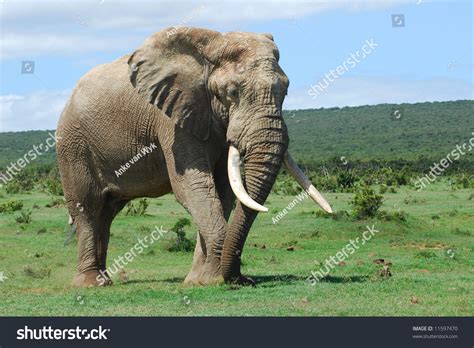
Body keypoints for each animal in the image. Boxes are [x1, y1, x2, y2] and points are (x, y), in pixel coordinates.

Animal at [57, 26, 332, 288]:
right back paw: (91, 284)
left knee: (107, 213)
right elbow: (193, 186)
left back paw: (103, 280)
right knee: (88, 208)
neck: (211, 47)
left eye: (285, 90)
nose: (243, 280)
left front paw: (202, 280)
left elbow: (222, 191)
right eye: (232, 92)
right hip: (73, 145)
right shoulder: (173, 118)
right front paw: (213, 280)